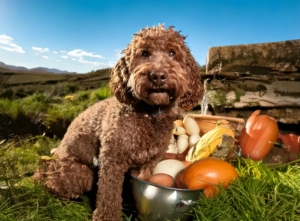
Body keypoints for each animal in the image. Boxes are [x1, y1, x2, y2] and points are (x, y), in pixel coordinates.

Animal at [32, 24, 203, 221]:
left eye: (172, 52)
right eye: (144, 53)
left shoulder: (149, 162)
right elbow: (109, 196)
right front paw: (107, 217)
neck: (149, 114)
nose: (158, 76)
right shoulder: (112, 161)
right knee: (53, 184)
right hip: (79, 173)